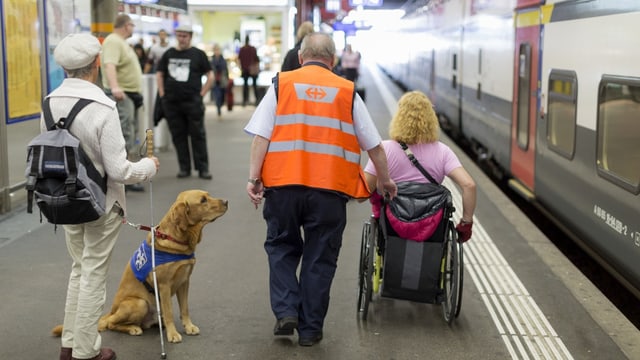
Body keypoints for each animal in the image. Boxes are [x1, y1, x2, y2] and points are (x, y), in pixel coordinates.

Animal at [53, 188, 228, 344]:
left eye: (208, 195)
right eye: (203, 200)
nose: (226, 201)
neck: (176, 238)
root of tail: (111, 312)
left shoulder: (184, 282)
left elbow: (185, 308)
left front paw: (189, 326)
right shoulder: (163, 285)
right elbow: (170, 312)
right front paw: (173, 334)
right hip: (139, 303)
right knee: (111, 323)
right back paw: (133, 328)